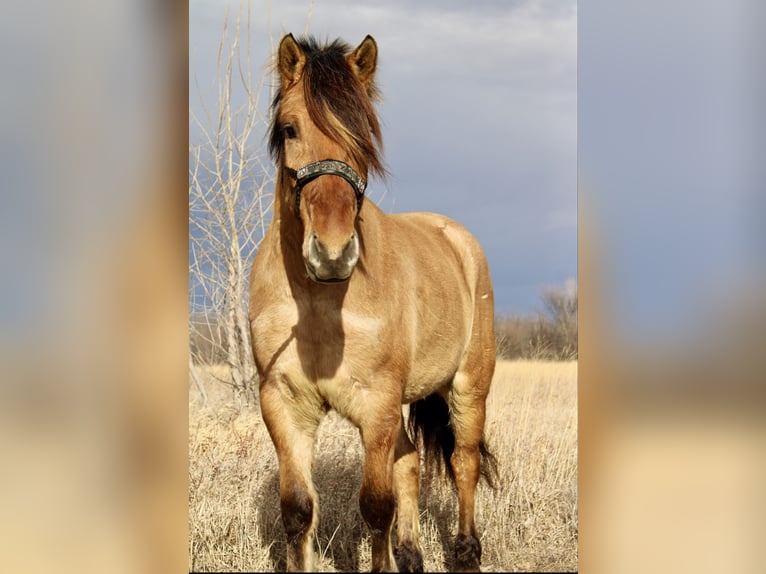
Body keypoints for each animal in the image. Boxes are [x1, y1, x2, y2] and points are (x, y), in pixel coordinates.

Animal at [249, 33, 496, 572]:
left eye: (361, 132)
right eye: (290, 128)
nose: (332, 252)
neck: (318, 303)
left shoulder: (378, 403)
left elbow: (375, 506)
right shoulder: (283, 403)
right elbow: (298, 510)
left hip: (468, 386)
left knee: (463, 462)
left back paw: (466, 551)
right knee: (410, 462)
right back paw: (412, 554)